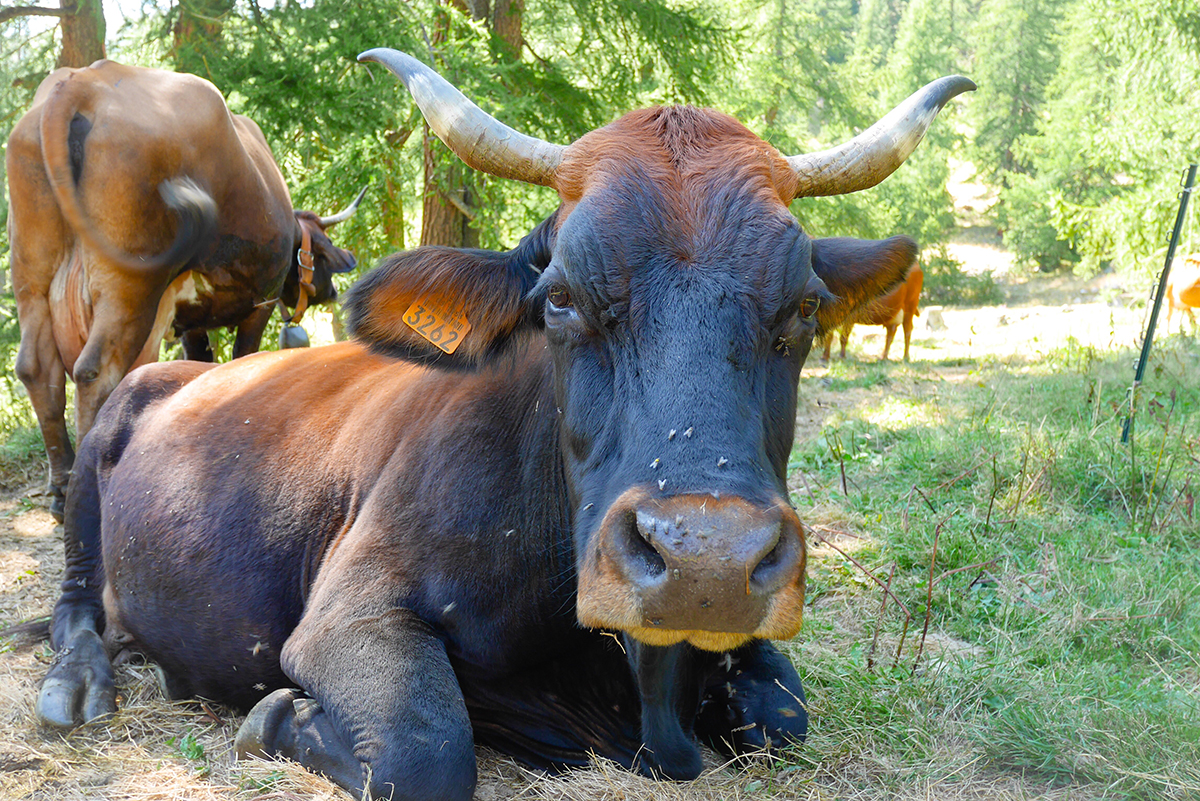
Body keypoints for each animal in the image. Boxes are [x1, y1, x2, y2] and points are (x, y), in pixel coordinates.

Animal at [5, 59, 363, 520]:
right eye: (321, 253)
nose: (333, 290)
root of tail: (83, 81)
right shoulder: (257, 306)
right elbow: (241, 359)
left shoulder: (190, 320)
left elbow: (199, 365)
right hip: (131, 287)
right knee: (97, 371)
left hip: (31, 275)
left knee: (37, 368)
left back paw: (60, 490)